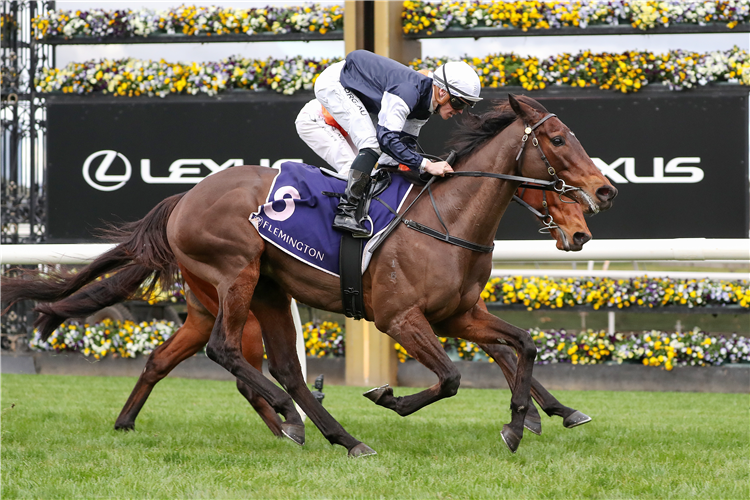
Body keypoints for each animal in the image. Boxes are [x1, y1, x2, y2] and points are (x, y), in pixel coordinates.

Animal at [0, 95, 616, 456]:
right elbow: (449, 378)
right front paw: (389, 397)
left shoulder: (459, 314)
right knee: (229, 353)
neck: (448, 219)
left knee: (250, 367)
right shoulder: (401, 318)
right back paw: (290, 418)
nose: (604, 191)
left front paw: (524, 420)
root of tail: (183, 198)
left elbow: (522, 345)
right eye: (557, 140)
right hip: (237, 277)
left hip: (253, 294)